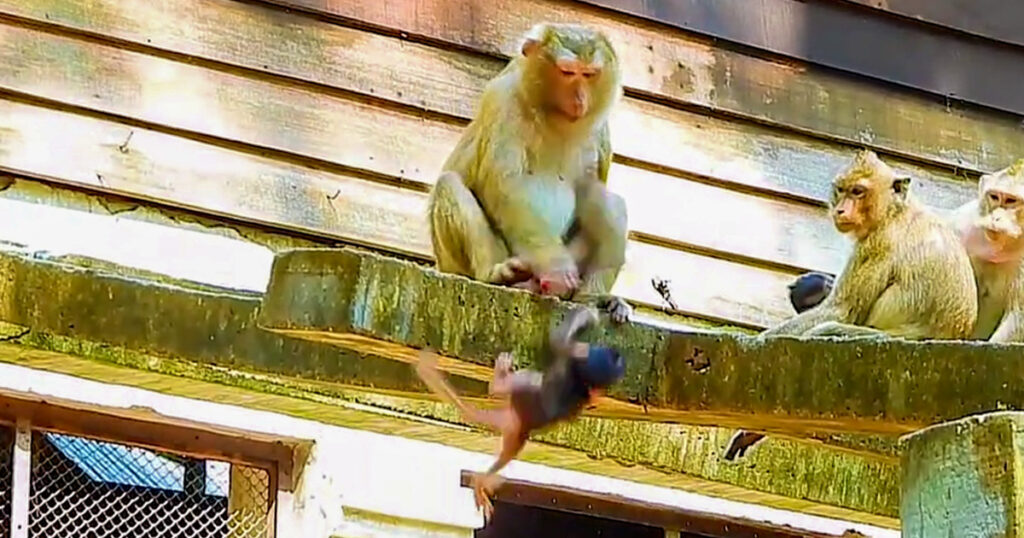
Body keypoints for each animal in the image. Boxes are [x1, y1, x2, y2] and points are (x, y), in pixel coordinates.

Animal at [414, 305, 626, 520]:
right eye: (615, 361)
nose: (618, 355)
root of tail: (516, 423)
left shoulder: (578, 355)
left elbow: (558, 340)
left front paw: (587, 314)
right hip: (517, 427)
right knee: (505, 455)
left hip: (523, 389)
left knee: (504, 388)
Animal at [427, 23, 632, 323]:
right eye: (567, 72)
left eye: (589, 75)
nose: (580, 100)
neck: (551, 114)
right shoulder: (503, 99)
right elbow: (506, 186)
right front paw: (556, 267)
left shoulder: (600, 130)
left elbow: (592, 190)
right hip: (457, 263)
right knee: (448, 184)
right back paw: (498, 275)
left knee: (607, 202)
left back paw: (592, 299)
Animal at [723, 150, 978, 461]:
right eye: (841, 190)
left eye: (858, 192)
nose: (841, 210)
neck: (895, 211)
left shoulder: (876, 244)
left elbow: (840, 311)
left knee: (826, 330)